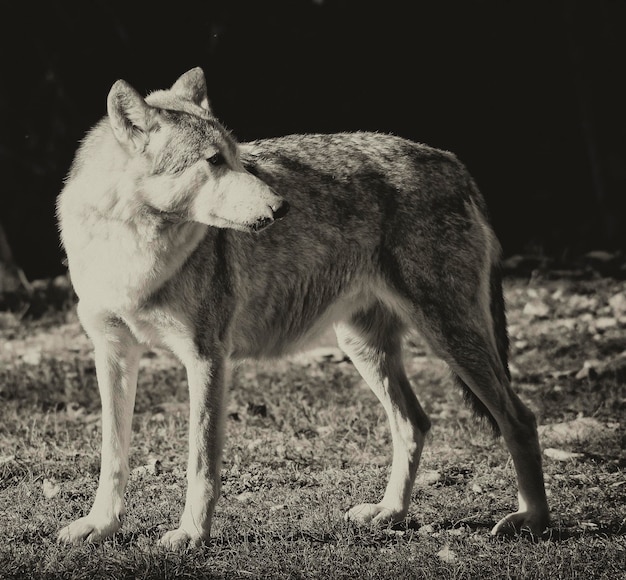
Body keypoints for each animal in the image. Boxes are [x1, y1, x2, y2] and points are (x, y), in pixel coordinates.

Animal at [56, 68, 548, 548]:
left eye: (237, 157)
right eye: (213, 161)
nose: (281, 207)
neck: (130, 247)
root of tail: (454, 163)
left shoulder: (206, 356)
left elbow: (201, 462)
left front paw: (192, 533)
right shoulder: (113, 353)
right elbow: (112, 454)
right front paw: (100, 524)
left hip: (449, 336)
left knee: (520, 418)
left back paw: (533, 520)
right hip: (365, 347)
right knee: (415, 423)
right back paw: (390, 513)